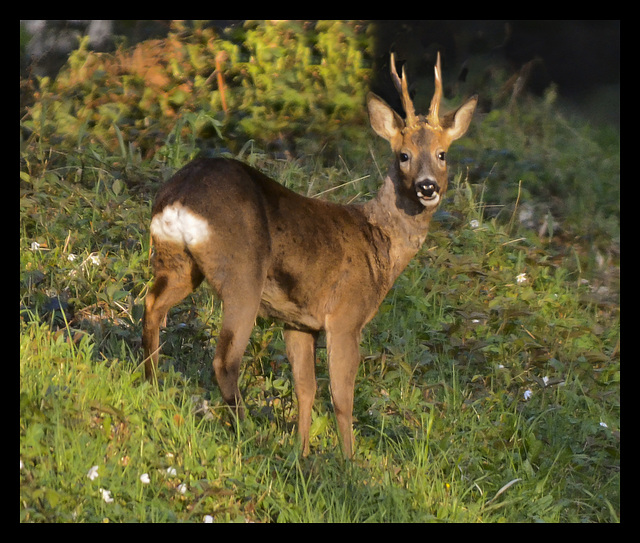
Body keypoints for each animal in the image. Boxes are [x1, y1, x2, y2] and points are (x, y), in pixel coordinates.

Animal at [142, 52, 478, 460]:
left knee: (152, 306)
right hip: (242, 275)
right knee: (225, 359)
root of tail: (179, 195)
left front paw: (301, 453)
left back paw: (151, 384)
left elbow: (306, 389)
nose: (427, 187)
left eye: (442, 154)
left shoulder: (299, 322)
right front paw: (349, 462)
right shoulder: (346, 316)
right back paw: (245, 433)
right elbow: (341, 397)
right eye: (404, 155)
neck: (378, 245)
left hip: (177, 262)